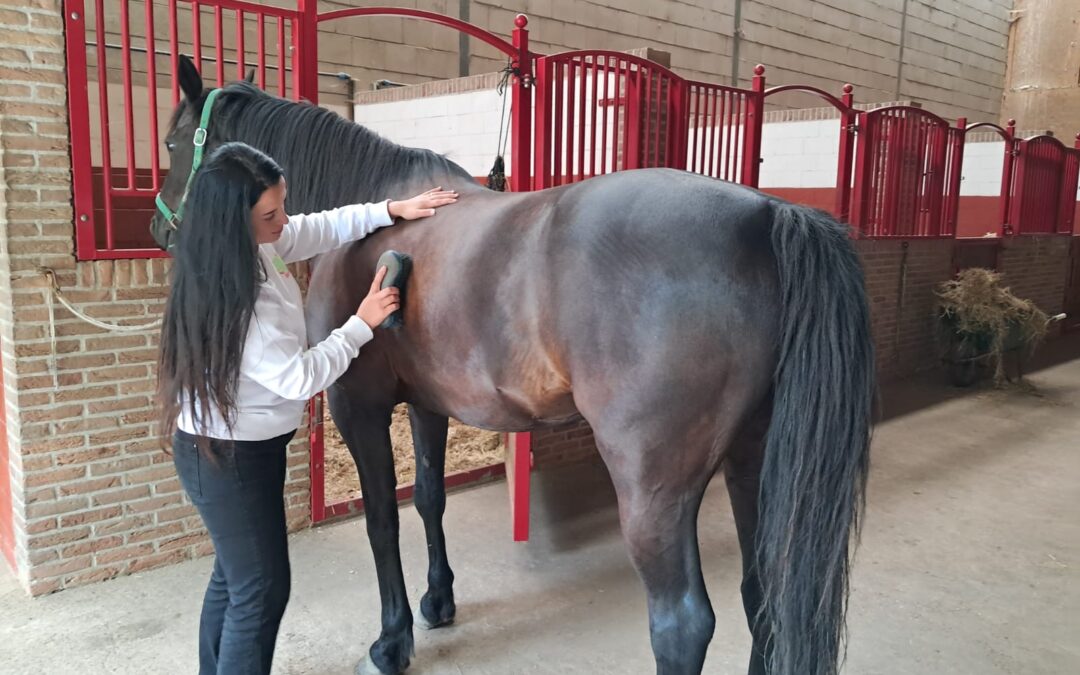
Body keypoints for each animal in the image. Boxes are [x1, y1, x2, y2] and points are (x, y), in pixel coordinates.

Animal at [152, 56, 875, 675]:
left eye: (171, 142)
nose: (162, 231)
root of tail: (769, 213)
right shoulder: (427, 403)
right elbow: (431, 498)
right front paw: (438, 602)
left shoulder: (359, 407)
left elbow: (383, 517)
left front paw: (391, 641)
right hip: (755, 460)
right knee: (765, 595)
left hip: (656, 489)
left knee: (683, 624)